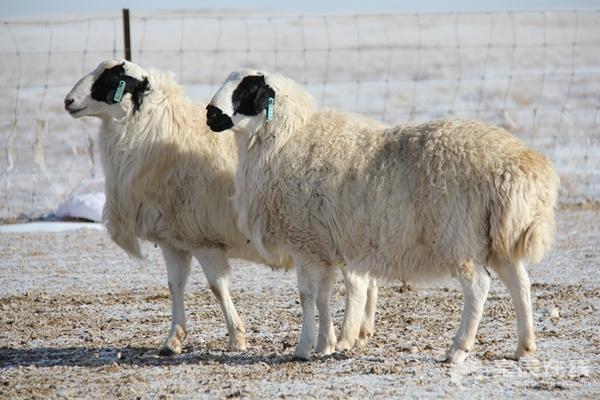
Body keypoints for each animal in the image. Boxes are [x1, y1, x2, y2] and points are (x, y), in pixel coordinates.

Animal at [63, 58, 378, 356]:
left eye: (114, 77)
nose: (68, 101)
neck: (152, 136)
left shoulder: (203, 239)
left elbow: (216, 287)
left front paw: (236, 338)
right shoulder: (172, 240)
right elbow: (175, 286)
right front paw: (172, 340)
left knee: (356, 284)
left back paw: (347, 337)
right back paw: (363, 331)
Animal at [205, 69, 556, 362]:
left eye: (248, 90)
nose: (209, 114)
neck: (286, 141)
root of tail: (519, 165)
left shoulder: (304, 241)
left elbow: (307, 296)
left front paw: (303, 348)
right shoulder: (322, 246)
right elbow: (323, 296)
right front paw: (325, 345)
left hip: (460, 238)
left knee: (479, 287)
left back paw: (458, 349)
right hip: (496, 237)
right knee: (520, 283)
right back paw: (524, 347)